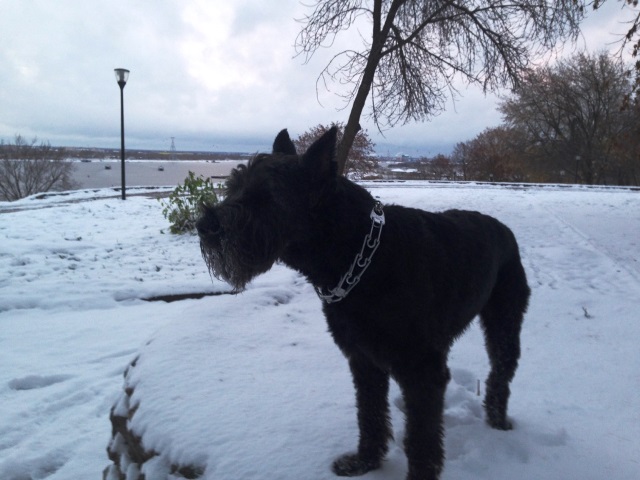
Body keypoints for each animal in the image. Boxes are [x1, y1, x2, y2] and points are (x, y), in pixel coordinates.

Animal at [196, 127, 530, 480]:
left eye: (266, 195)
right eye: (234, 185)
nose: (204, 226)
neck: (360, 256)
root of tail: (505, 230)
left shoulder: (421, 370)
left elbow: (422, 439)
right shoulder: (364, 359)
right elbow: (369, 413)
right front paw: (365, 461)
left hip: (504, 323)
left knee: (502, 369)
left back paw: (498, 419)